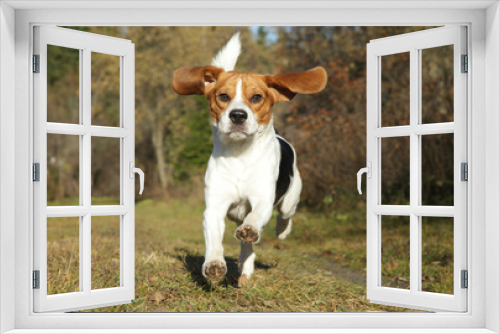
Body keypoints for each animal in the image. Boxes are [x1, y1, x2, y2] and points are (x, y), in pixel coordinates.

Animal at [172, 33, 328, 284]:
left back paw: (280, 230)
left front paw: (253, 229)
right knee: (246, 246)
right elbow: (214, 239)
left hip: (290, 199)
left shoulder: (262, 200)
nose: (238, 115)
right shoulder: (214, 208)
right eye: (223, 96)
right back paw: (245, 267)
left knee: (285, 215)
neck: (240, 156)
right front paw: (214, 263)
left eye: (256, 97)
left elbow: (255, 216)